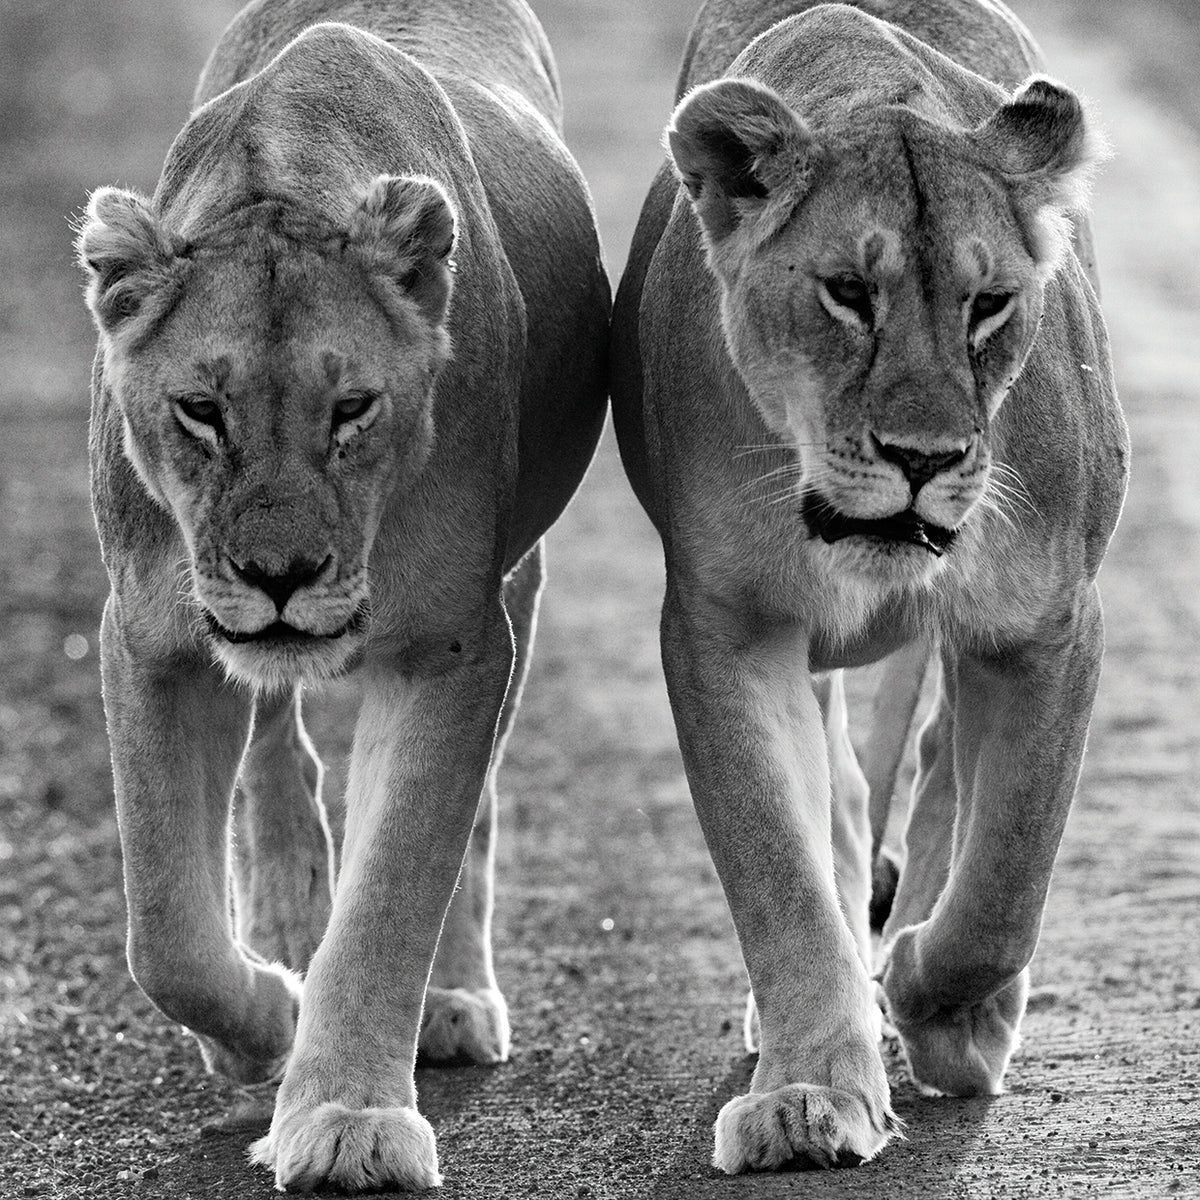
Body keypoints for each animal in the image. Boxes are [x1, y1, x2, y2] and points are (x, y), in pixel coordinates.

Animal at [76, 0, 607, 1190]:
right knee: (277, 761)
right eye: (200, 411)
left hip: (521, 582)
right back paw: (283, 929)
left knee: (471, 812)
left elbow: (395, 888)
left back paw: (448, 999)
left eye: (353, 408)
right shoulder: (151, 640)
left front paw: (347, 1116)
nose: (279, 578)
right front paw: (267, 1019)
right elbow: (163, 927)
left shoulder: (454, 644)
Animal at [611, 0, 1127, 1175]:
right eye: (848, 293)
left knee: (942, 774)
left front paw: (943, 1006)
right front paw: (808, 1091)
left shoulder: (1049, 627)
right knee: (850, 799)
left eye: (991, 305)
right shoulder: (725, 627)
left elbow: (1005, 877)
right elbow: (781, 872)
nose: (925, 459)